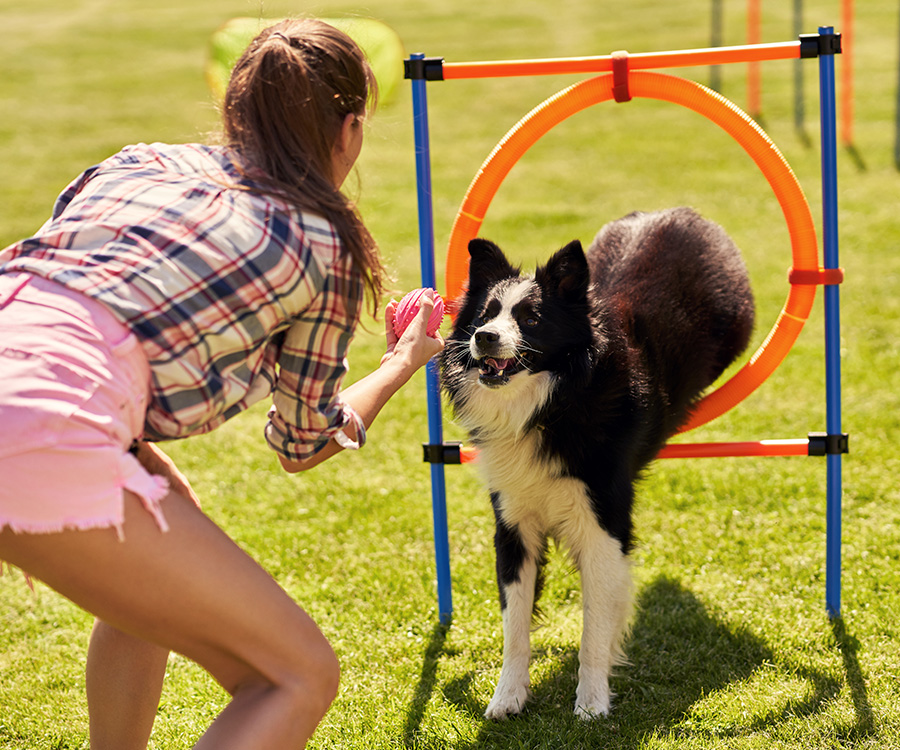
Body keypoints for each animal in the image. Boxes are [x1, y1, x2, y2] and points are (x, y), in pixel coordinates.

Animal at [440, 207, 756, 724]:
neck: (551, 400)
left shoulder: (604, 524)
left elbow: (594, 626)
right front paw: (507, 697)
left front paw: (591, 703)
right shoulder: (513, 523)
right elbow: (514, 624)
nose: (484, 338)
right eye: (485, 314)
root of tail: (678, 211)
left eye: (531, 318)